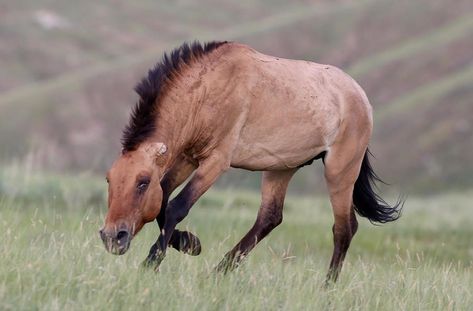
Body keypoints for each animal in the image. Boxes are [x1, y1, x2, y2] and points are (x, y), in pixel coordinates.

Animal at [99, 40, 402, 282]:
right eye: (109, 180)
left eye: (143, 182)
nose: (113, 237)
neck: (207, 90)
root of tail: (361, 97)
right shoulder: (186, 158)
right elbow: (162, 204)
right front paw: (190, 243)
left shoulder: (215, 162)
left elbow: (176, 207)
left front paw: (151, 262)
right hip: (282, 168)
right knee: (270, 218)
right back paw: (219, 271)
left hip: (340, 171)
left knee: (344, 228)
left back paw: (327, 287)